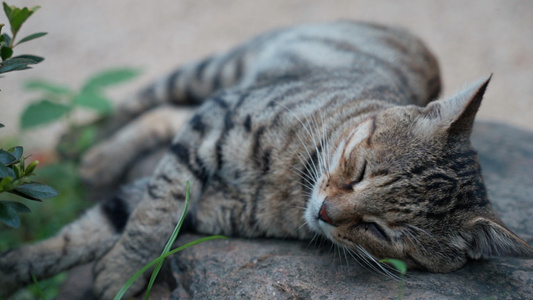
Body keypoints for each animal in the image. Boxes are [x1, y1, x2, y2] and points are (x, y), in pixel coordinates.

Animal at [1, 20, 532, 298]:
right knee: (142, 101)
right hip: (218, 72)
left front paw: (29, 267)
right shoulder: (210, 128)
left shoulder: (203, 205)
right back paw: (81, 145)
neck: (290, 179)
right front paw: (115, 270)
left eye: (381, 232)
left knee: (164, 118)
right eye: (360, 170)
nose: (325, 212)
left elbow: (102, 227)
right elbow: (148, 218)